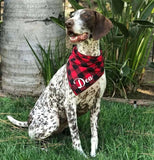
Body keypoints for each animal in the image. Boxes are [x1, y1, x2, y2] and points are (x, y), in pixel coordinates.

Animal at [7, 9, 112, 158]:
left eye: (86, 15)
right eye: (72, 15)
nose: (68, 23)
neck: (88, 58)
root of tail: (29, 121)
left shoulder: (96, 103)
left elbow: (94, 133)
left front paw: (93, 152)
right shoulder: (70, 105)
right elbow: (75, 135)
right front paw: (80, 154)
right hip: (52, 121)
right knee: (33, 137)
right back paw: (44, 148)